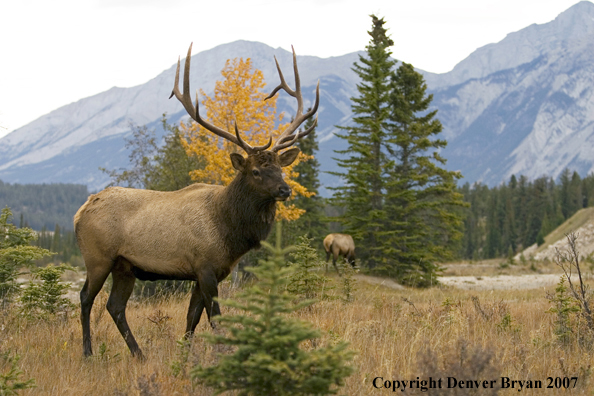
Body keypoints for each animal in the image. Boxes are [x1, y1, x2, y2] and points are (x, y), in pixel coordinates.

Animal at [75, 43, 320, 358]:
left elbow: (192, 318)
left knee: (115, 306)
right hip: (97, 257)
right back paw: (88, 353)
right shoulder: (204, 266)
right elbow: (215, 318)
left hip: (124, 266)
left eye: (280, 168)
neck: (230, 231)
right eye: (255, 171)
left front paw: (185, 356)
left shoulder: (208, 271)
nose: (284, 190)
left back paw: (139, 355)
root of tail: (80, 211)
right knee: (86, 298)